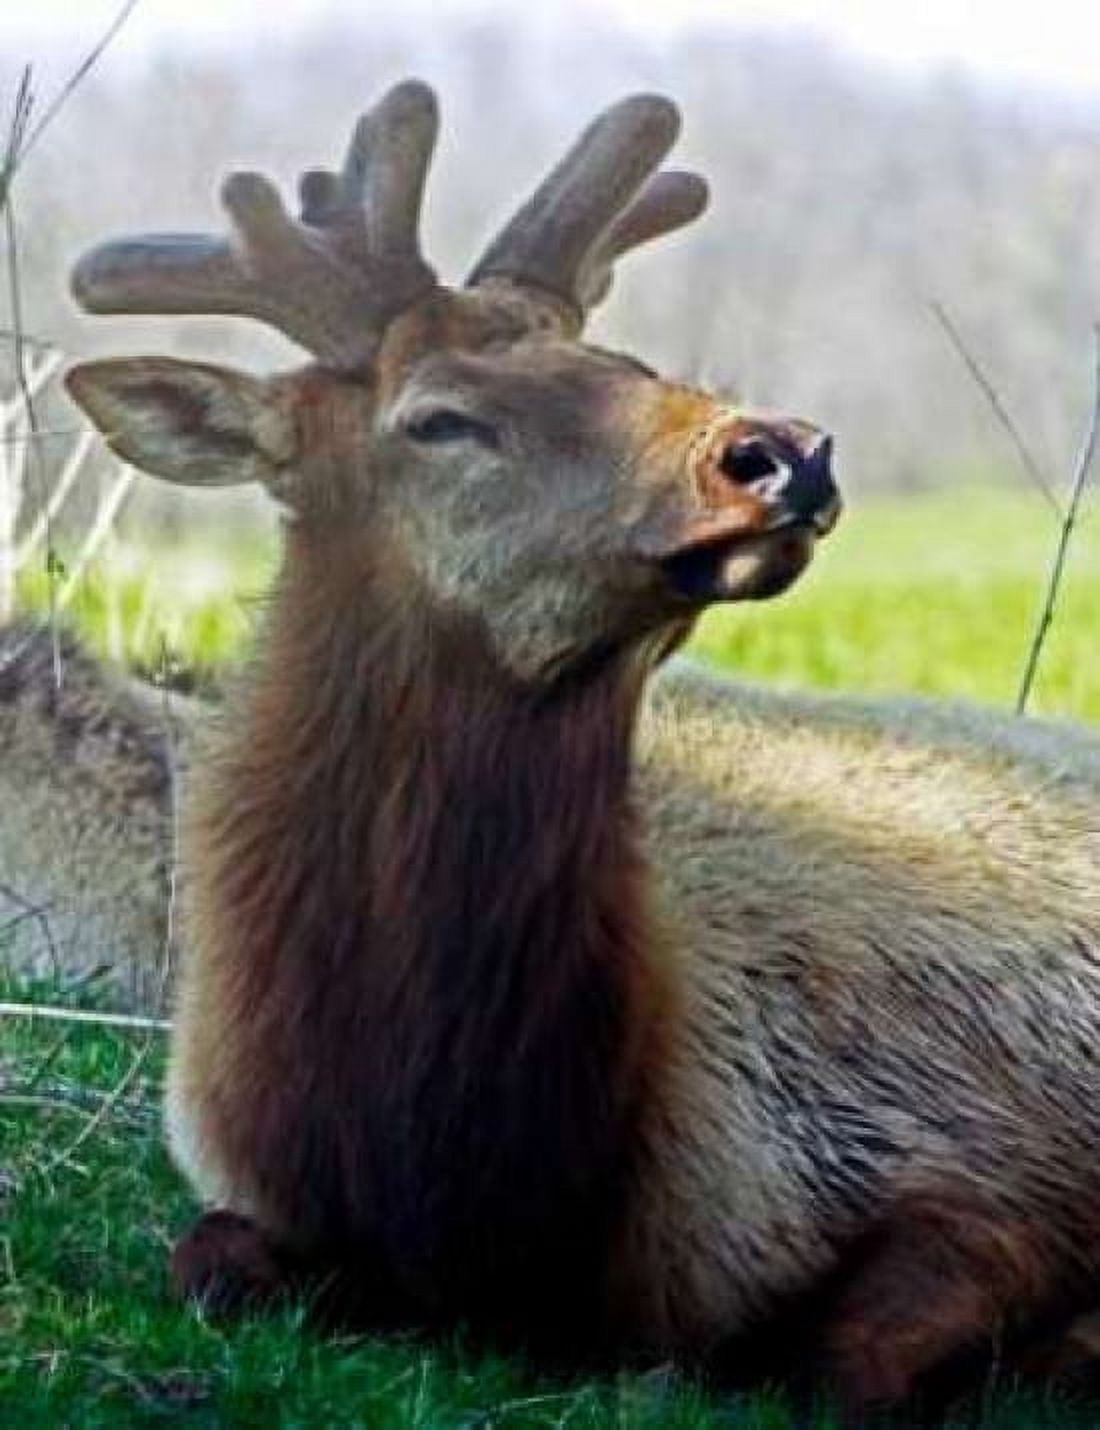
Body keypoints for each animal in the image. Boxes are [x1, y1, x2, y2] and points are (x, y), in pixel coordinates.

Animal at [61, 81, 1100, 1411]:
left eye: (628, 364)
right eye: (438, 417)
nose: (779, 451)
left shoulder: (991, 1153)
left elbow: (836, 1362)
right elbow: (204, 1257)